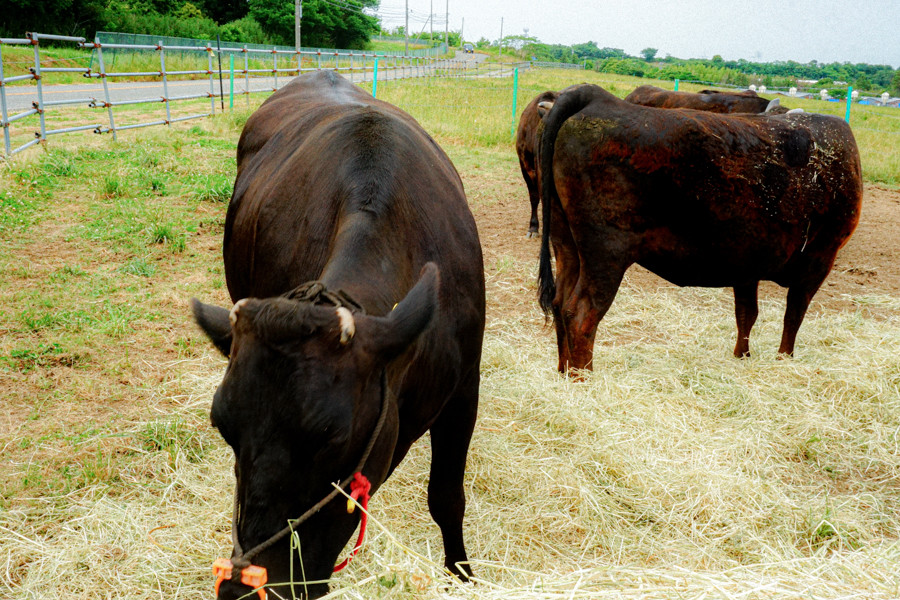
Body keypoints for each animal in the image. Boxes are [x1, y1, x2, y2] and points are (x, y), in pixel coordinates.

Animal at [192, 71, 486, 600]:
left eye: (332, 436)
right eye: (223, 427)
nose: (246, 589)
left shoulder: (465, 384)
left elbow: (447, 497)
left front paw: (463, 574)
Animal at [536, 83, 860, 376]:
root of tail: (597, 97)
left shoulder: (748, 264)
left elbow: (747, 313)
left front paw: (742, 356)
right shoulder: (819, 259)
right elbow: (793, 315)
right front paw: (784, 359)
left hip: (566, 244)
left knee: (560, 303)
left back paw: (564, 372)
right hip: (606, 254)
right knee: (581, 313)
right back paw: (584, 379)